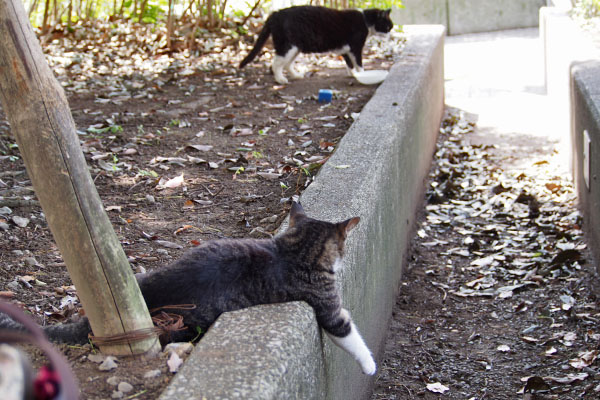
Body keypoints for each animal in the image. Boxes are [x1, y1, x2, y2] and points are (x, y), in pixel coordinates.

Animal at [239, 5, 394, 84]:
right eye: (388, 27)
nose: (390, 35)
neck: (366, 21)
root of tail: (275, 14)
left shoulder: (346, 50)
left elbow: (350, 64)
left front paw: (352, 74)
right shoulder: (356, 48)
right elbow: (359, 64)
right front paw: (363, 75)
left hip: (296, 47)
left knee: (287, 64)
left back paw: (296, 76)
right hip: (287, 46)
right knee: (276, 63)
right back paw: (280, 79)